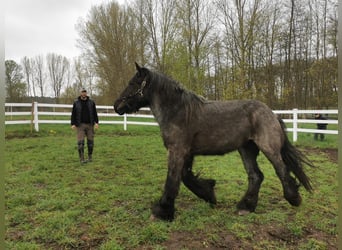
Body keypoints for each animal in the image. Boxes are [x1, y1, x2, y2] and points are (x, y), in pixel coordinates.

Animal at [113, 63, 314, 222]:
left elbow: (172, 180)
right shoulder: (186, 153)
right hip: (246, 149)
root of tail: (272, 113)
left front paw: (162, 211)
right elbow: (185, 177)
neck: (178, 111)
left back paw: (294, 199)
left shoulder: (177, 151)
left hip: (269, 148)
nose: (116, 106)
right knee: (256, 176)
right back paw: (245, 207)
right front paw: (209, 194)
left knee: (281, 171)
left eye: (133, 83)